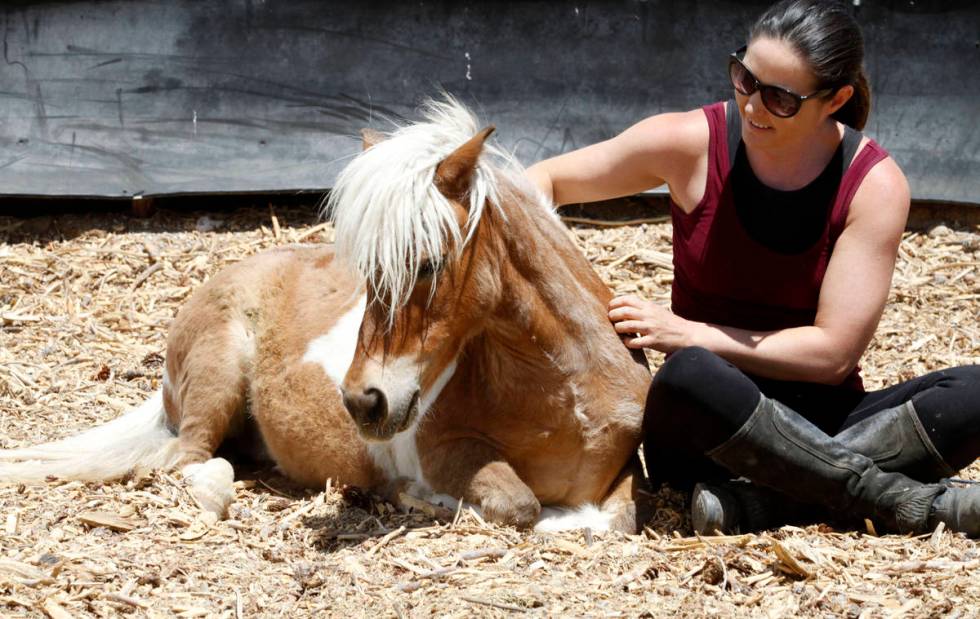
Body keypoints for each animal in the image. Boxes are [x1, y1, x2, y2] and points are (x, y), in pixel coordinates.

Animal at [5, 99, 660, 536]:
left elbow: (620, 516)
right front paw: (420, 498)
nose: (362, 403)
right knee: (189, 461)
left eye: (429, 262)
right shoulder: (446, 449)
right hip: (218, 377)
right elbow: (523, 507)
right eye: (366, 270)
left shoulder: (627, 467)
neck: (567, 397)